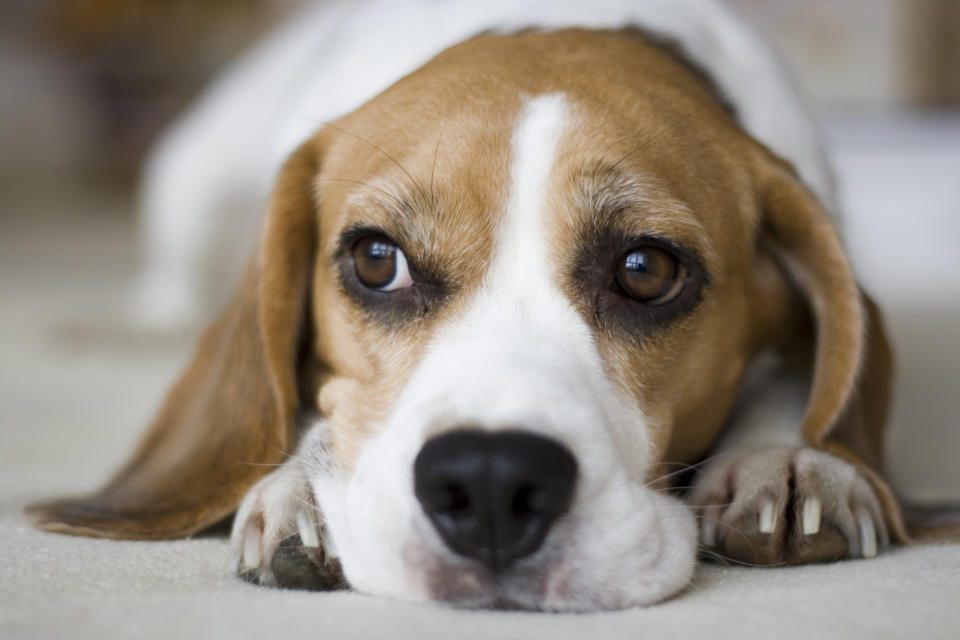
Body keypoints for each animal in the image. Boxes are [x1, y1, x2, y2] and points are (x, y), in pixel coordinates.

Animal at [26, 0, 956, 608]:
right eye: (376, 260)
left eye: (646, 269)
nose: (491, 478)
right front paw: (303, 488)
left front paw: (789, 458)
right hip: (186, 182)